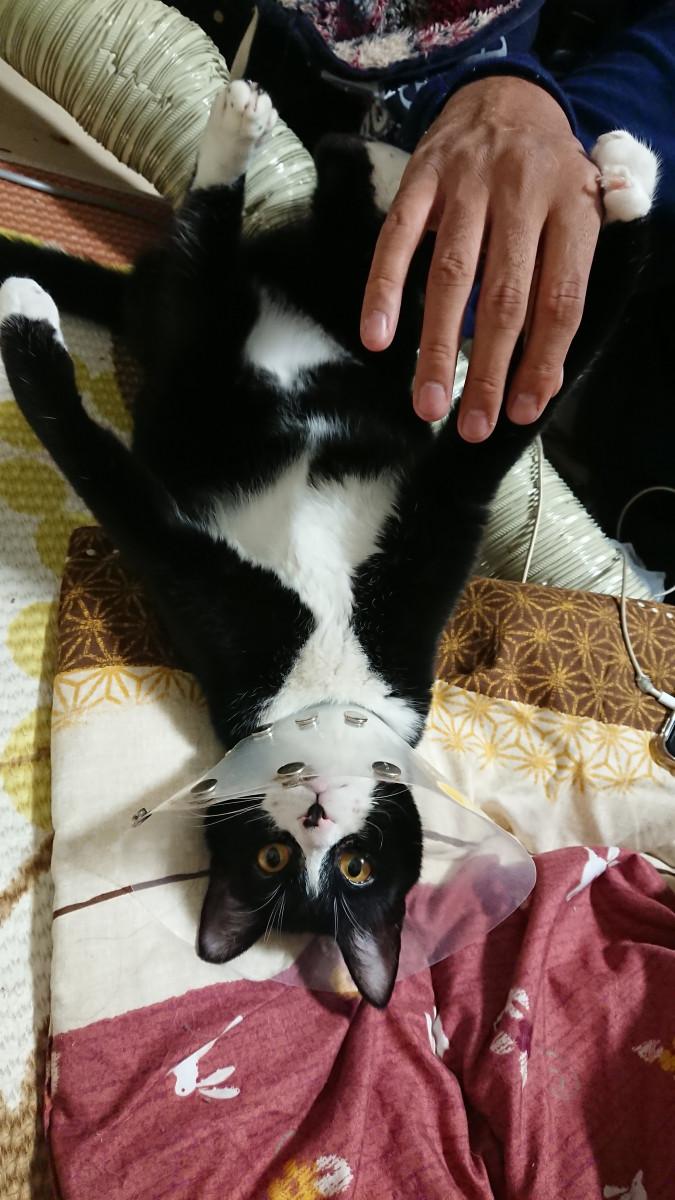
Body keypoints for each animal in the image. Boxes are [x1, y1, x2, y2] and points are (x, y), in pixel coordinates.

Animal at [0, 81, 656, 1004]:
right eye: (280, 859)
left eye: (350, 869)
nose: (316, 813)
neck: (332, 673)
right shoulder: (289, 589)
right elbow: (517, 410)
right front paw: (629, 195)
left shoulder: (377, 562)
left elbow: (515, 411)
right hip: (298, 333)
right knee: (286, 257)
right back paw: (320, 143)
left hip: (278, 338)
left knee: (253, 262)